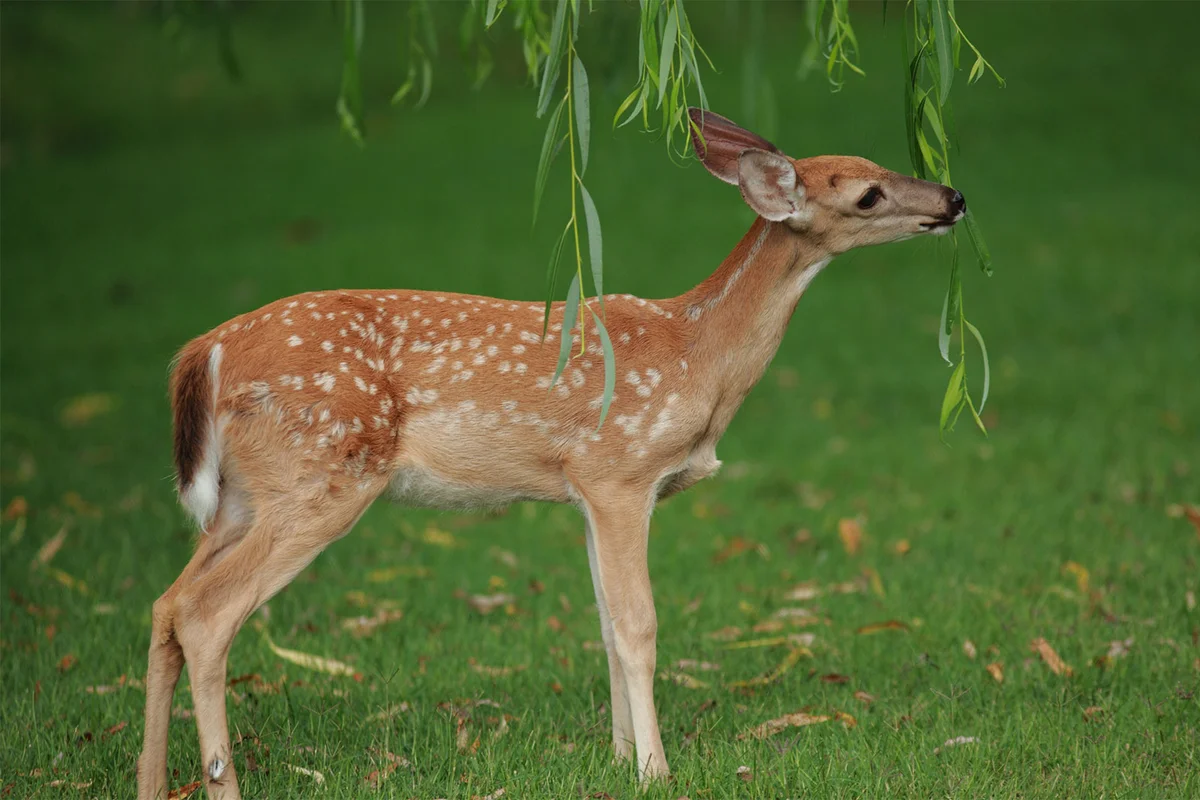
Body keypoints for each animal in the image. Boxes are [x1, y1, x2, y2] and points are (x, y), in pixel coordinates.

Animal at [137, 107, 965, 799]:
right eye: (867, 195)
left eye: (880, 159)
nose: (954, 197)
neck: (698, 357)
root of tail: (202, 353)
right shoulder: (620, 471)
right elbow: (637, 626)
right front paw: (655, 770)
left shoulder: (586, 492)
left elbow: (602, 624)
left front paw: (618, 758)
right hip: (322, 473)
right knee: (208, 613)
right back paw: (222, 783)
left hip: (242, 496)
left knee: (167, 603)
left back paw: (150, 782)